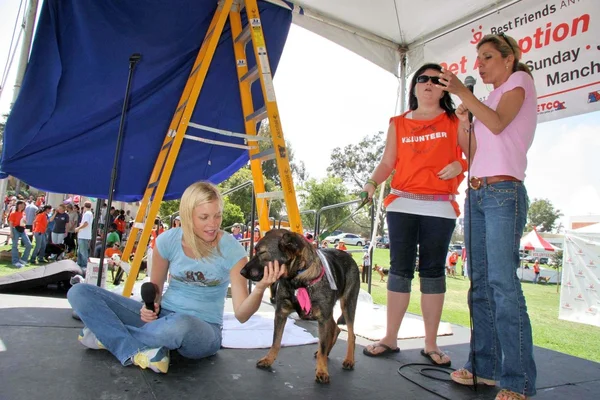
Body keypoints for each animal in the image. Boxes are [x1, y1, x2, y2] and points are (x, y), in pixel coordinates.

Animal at [240, 230, 360, 382]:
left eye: (261, 252)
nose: (241, 272)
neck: (298, 279)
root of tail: (348, 256)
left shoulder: (322, 318)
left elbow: (322, 345)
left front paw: (322, 370)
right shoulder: (281, 313)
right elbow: (276, 341)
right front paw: (269, 359)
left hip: (347, 305)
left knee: (351, 334)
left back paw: (349, 359)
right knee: (336, 328)